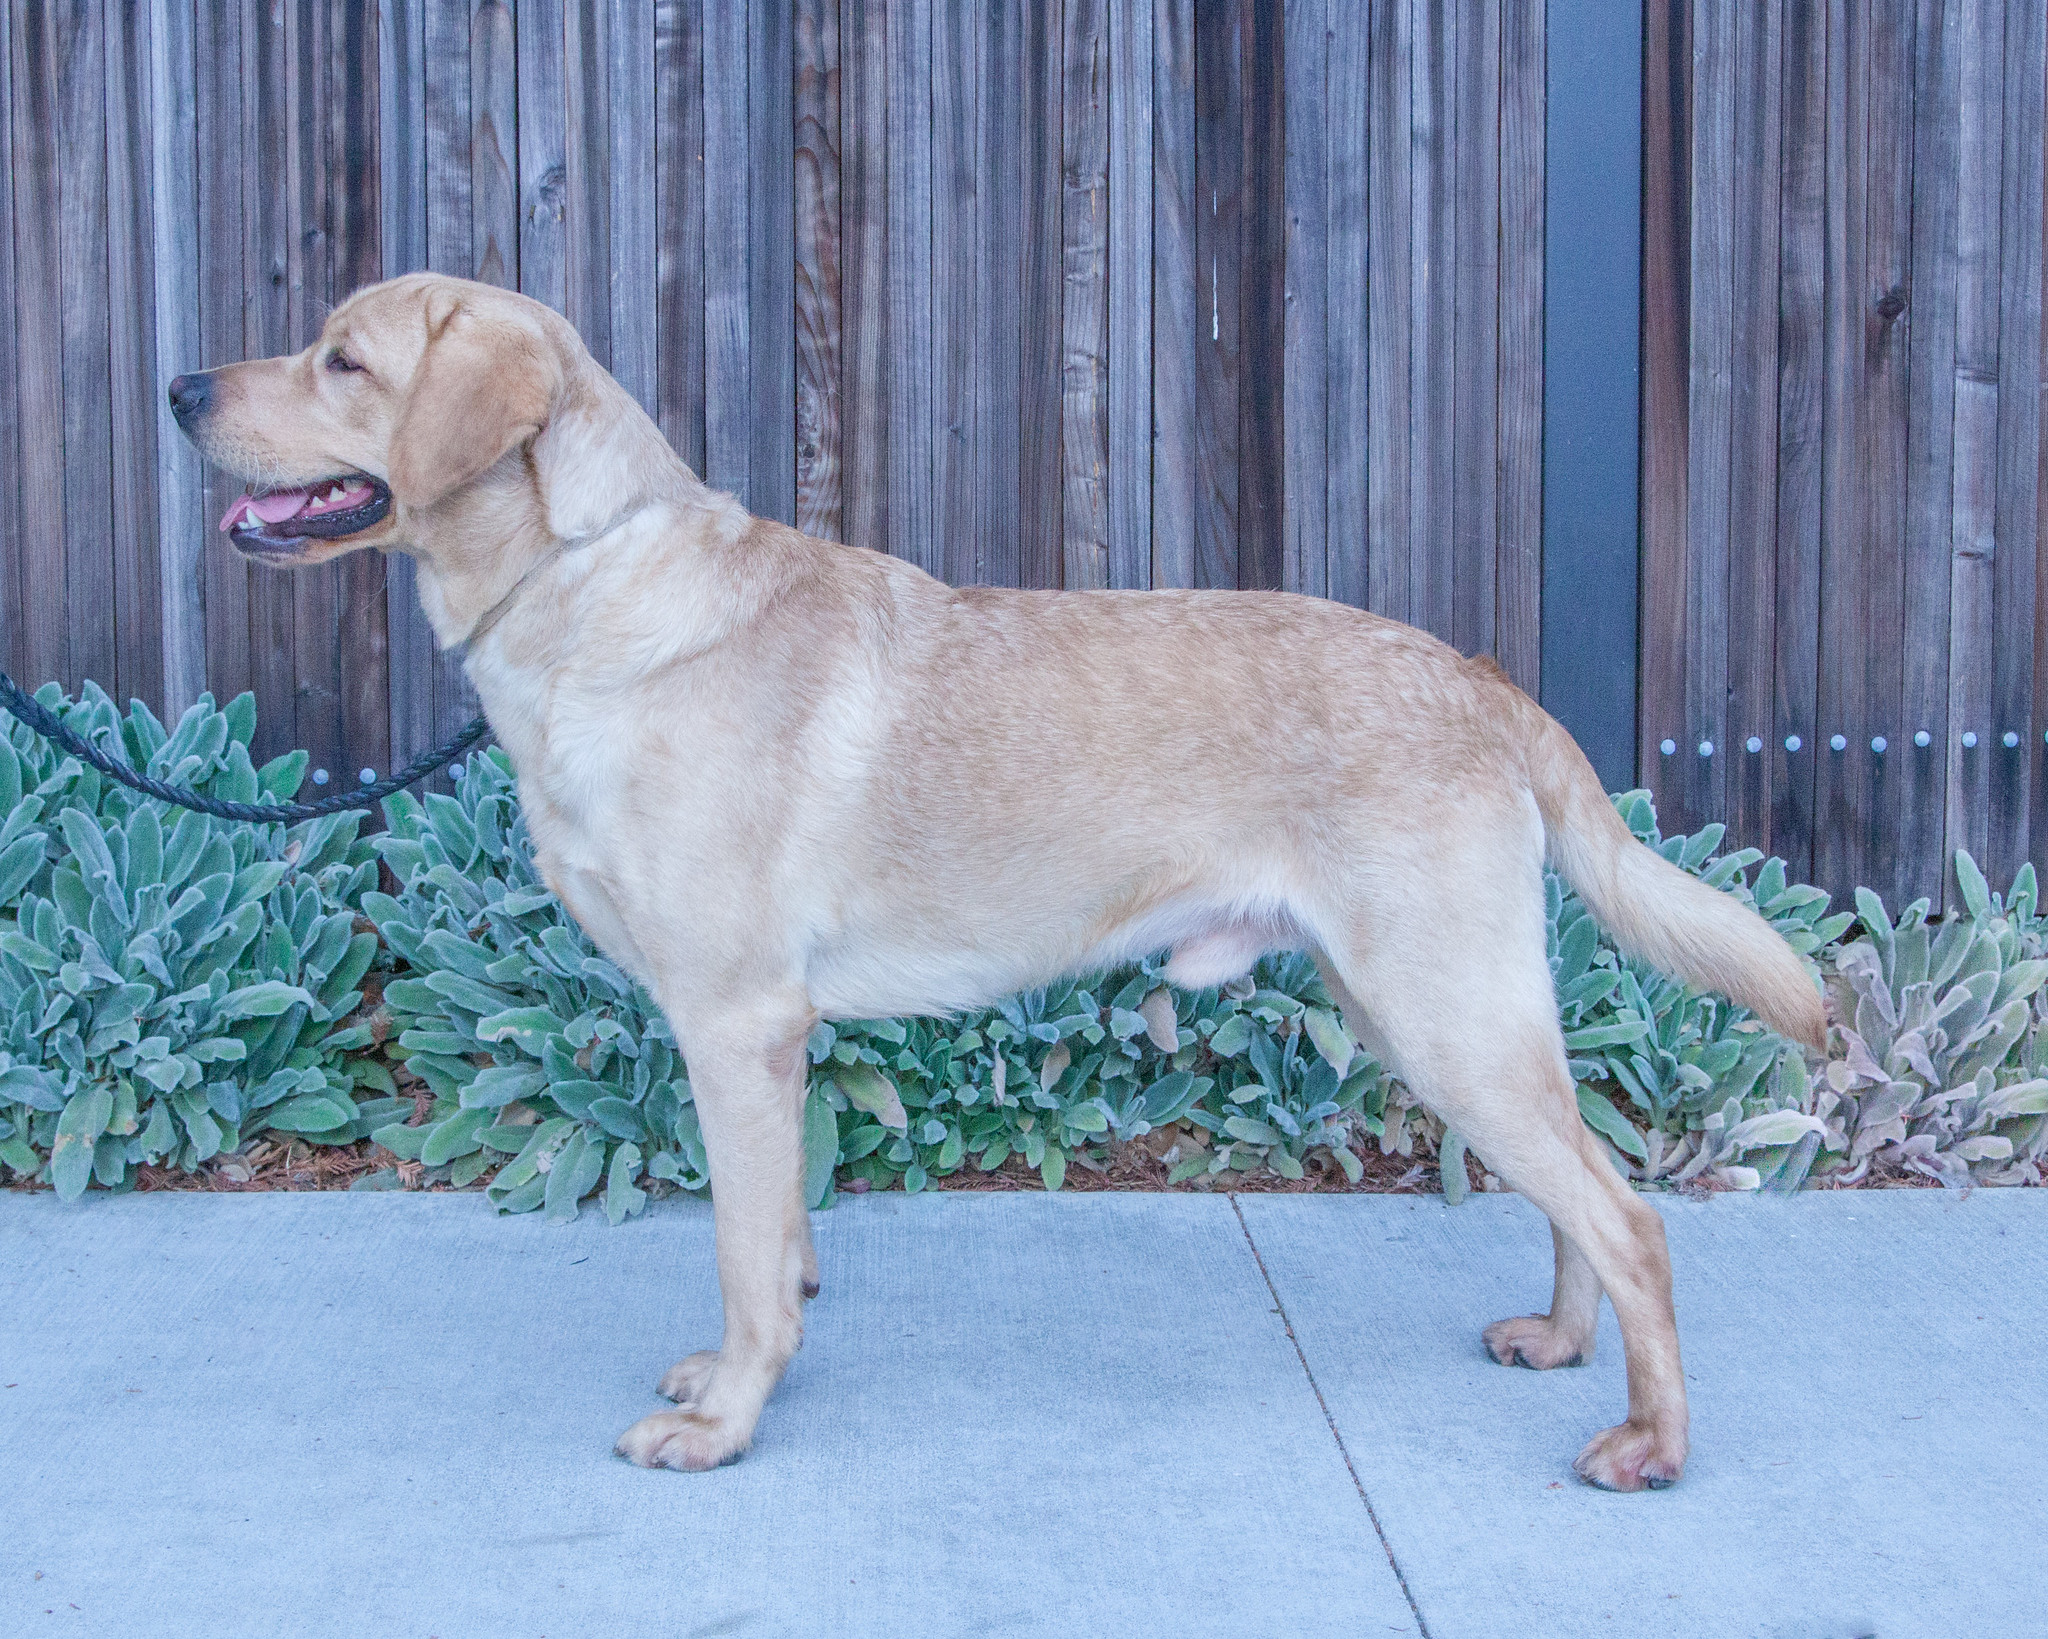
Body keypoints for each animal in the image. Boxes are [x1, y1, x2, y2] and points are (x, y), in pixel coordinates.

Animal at [167, 274, 1818, 1491]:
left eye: (342, 359)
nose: (181, 391)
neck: (582, 581)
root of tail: (1480, 674)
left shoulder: (736, 1025)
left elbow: (743, 1253)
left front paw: (727, 1420)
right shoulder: (772, 1039)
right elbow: (780, 1244)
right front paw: (746, 1372)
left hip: (1442, 1012)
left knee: (1631, 1213)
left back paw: (1651, 1440)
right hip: (1439, 1011)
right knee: (1586, 1179)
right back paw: (1563, 1339)